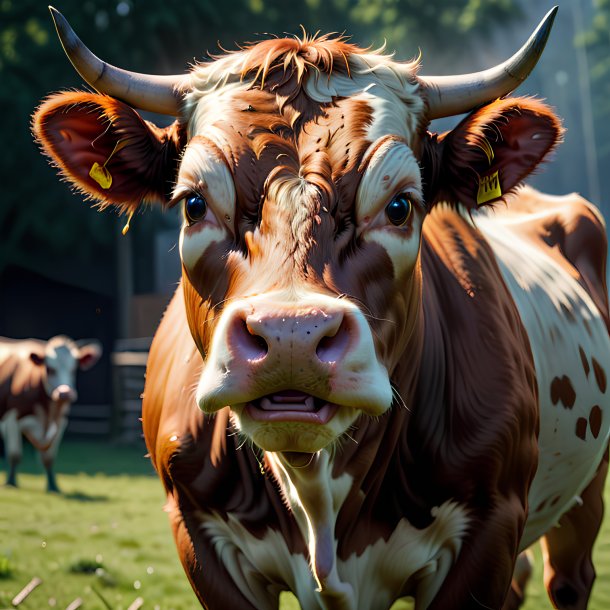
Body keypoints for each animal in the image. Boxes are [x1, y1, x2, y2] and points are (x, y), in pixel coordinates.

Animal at [0, 334, 101, 492]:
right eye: (49, 368)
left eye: (74, 369)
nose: (65, 393)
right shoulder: (12, 417)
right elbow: (14, 454)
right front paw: (11, 483)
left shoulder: (60, 422)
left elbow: (49, 457)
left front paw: (53, 486)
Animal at [32, 5, 608, 608]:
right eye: (192, 204)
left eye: (401, 206)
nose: (292, 337)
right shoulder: (197, 530)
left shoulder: (490, 529)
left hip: (586, 497)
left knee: (569, 579)